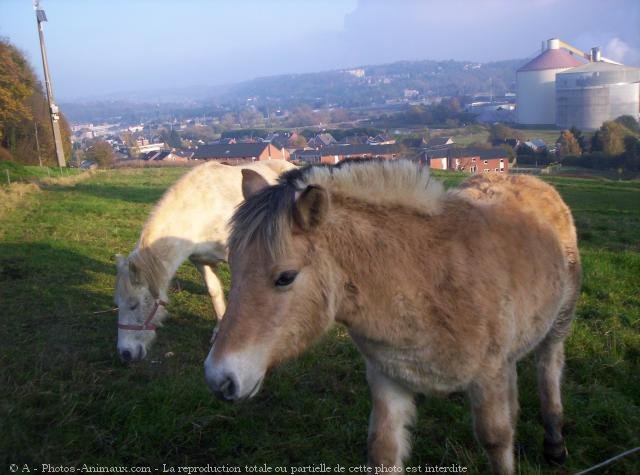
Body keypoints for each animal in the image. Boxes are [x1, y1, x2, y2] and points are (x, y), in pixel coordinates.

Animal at [204, 161, 580, 475]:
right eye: (233, 267)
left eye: (285, 277)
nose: (219, 378)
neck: (425, 279)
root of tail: (532, 182)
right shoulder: (389, 379)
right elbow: (383, 451)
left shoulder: (488, 377)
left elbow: (496, 440)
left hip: (557, 326)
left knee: (548, 370)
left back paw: (555, 443)